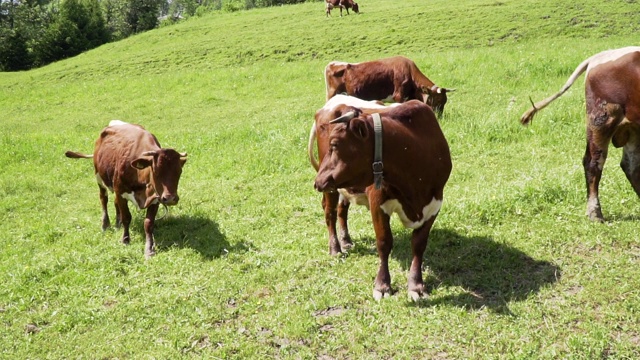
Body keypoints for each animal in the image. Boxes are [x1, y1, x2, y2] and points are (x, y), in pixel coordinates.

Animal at [65, 121, 188, 258]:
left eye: (179, 171)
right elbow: (126, 218)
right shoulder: (121, 193)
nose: (170, 198)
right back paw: (105, 224)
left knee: (114, 202)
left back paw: (117, 223)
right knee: (104, 199)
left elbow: (148, 223)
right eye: (155, 171)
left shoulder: (156, 197)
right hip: (99, 178)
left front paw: (149, 248)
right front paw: (125, 240)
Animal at [312, 97, 452, 300]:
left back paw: (346, 241)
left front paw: (416, 285)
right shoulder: (378, 202)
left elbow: (419, 244)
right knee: (329, 213)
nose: (317, 181)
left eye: (335, 144)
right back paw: (335, 248)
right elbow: (384, 242)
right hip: (331, 188)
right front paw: (383, 285)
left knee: (341, 210)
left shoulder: (434, 204)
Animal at [520, 47, 640, 222]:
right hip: (600, 120)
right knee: (593, 162)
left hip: (633, 128)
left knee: (631, 166)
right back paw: (595, 214)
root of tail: (597, 57)